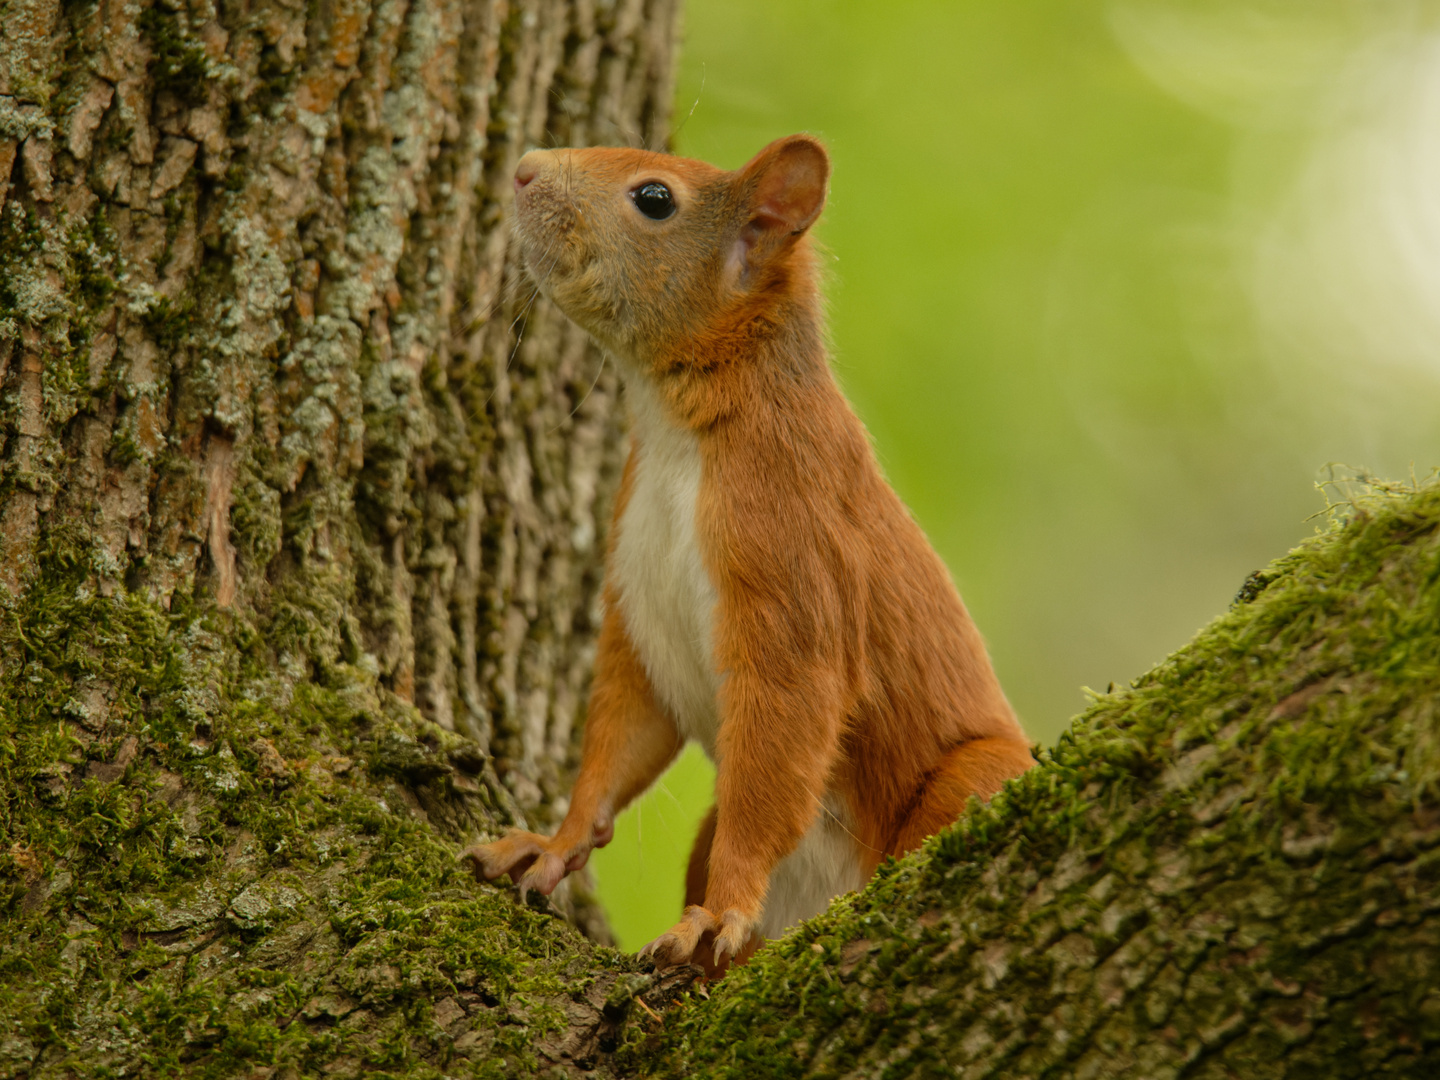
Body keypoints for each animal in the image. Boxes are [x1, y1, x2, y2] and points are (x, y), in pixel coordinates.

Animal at [466, 133, 1031, 973]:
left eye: (655, 198)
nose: (525, 167)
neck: (678, 429)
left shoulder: (791, 548)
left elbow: (784, 729)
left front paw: (714, 914)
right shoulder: (638, 601)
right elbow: (621, 738)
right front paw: (552, 842)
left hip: (976, 776)